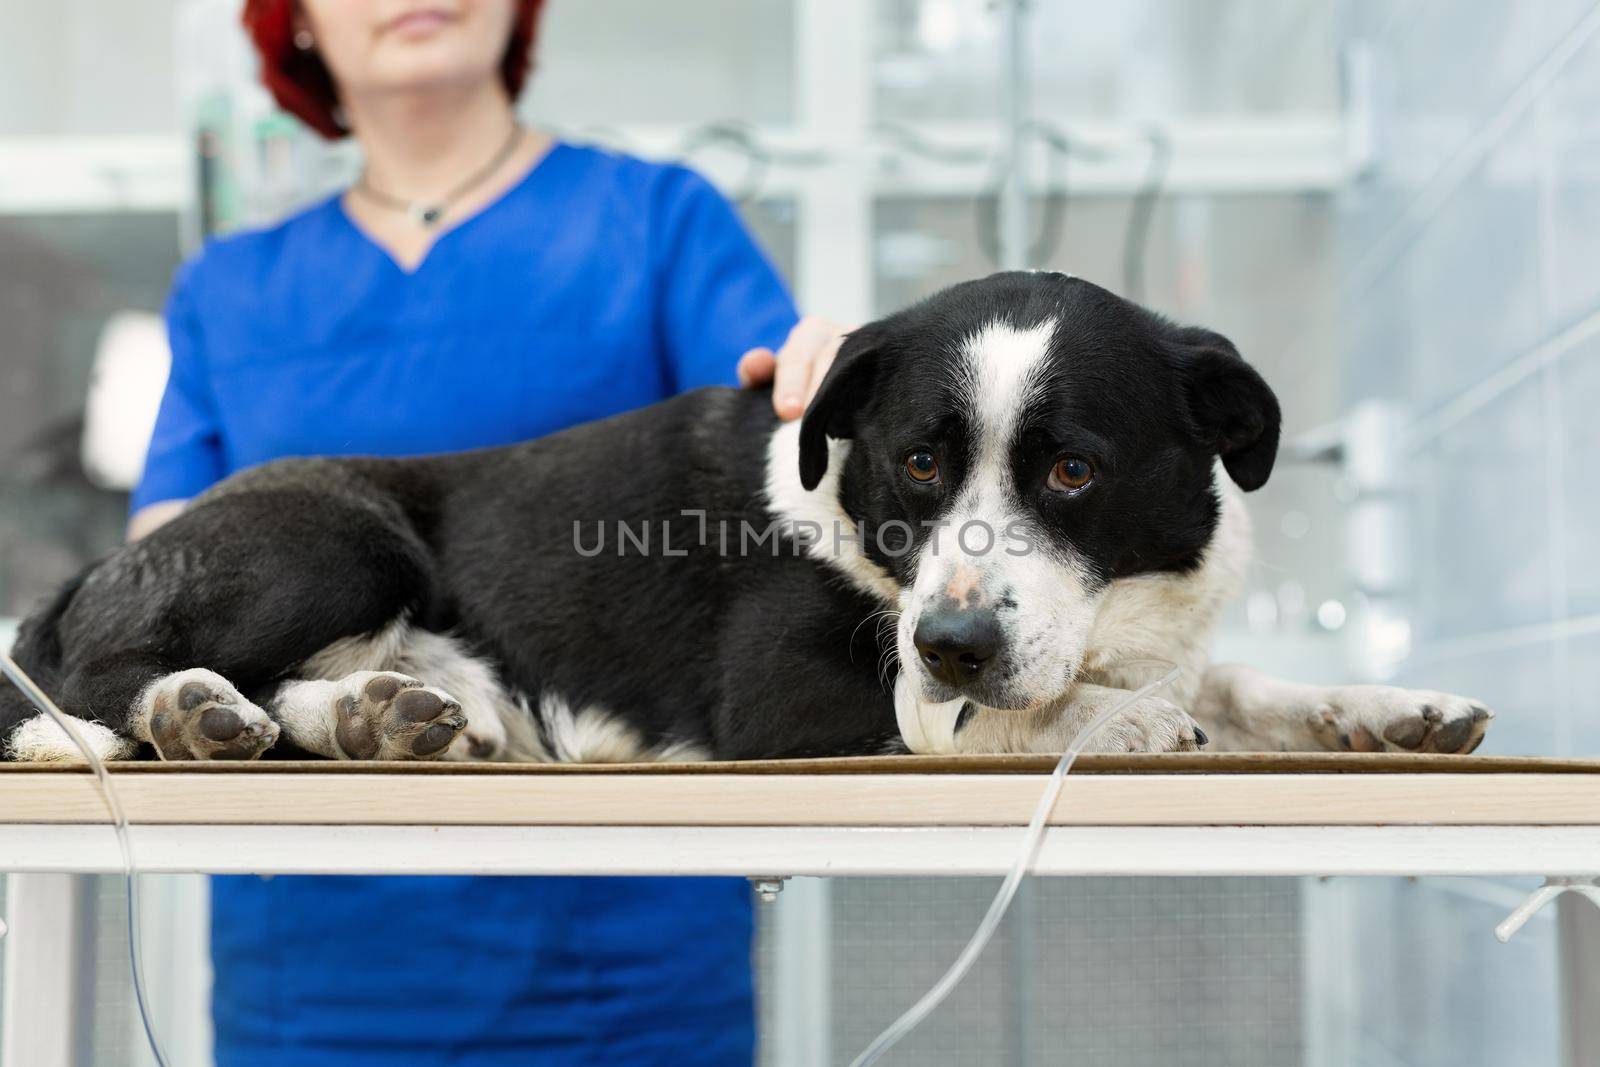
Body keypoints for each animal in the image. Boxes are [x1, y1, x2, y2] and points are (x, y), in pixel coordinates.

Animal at [6, 271, 1491, 764]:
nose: (953, 639)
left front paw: (1377, 706)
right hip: (338, 534)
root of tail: (92, 571)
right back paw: (179, 710)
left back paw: (379, 716)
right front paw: (1111, 721)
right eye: (916, 463)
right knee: (87, 681)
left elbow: (1228, 678)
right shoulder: (794, 699)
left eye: (1073, 472)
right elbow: (989, 715)